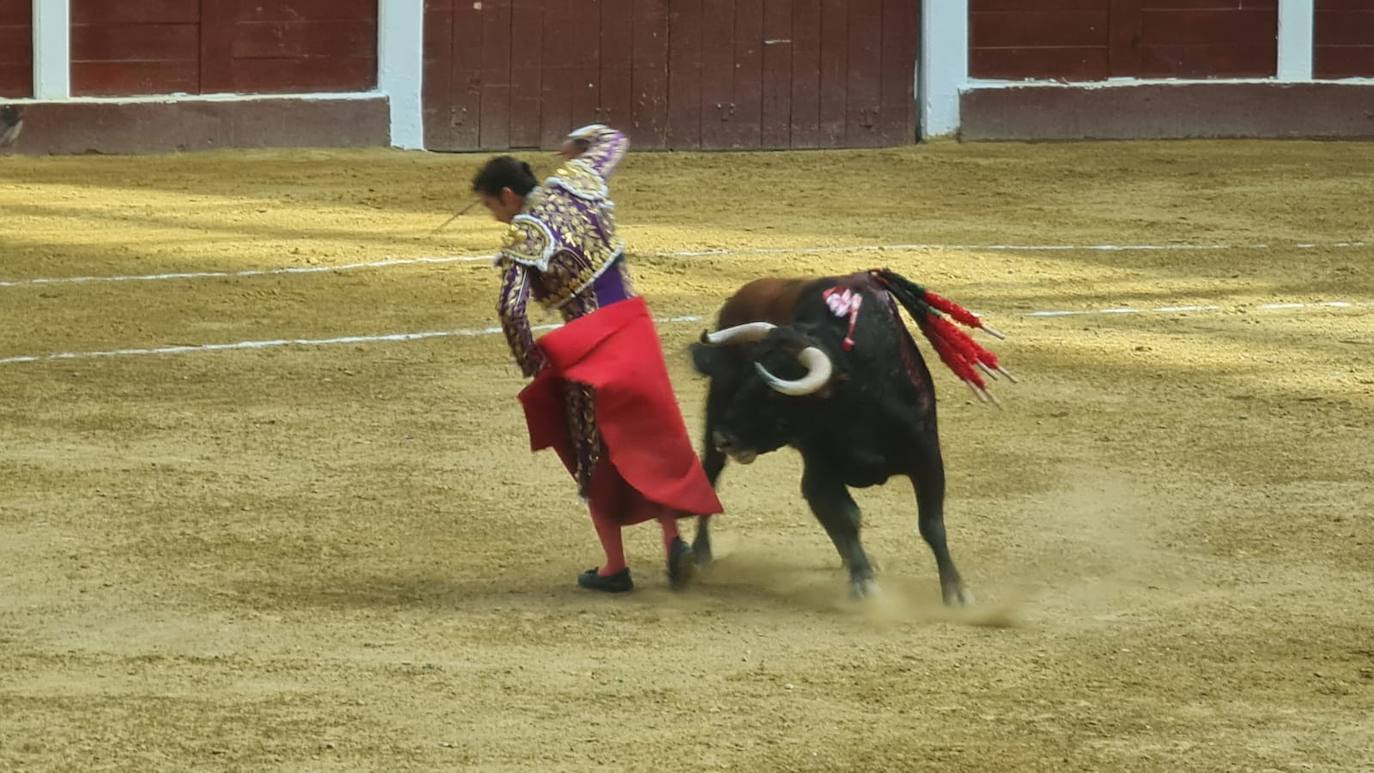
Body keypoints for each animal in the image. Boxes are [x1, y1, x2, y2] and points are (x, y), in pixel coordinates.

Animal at [684, 269, 1011, 606]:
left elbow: (932, 525)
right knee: (712, 473)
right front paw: (864, 582)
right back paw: (701, 553)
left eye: (773, 393)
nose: (725, 437)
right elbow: (847, 515)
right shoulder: (821, 464)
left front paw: (956, 591)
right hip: (716, 410)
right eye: (747, 375)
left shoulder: (927, 458)